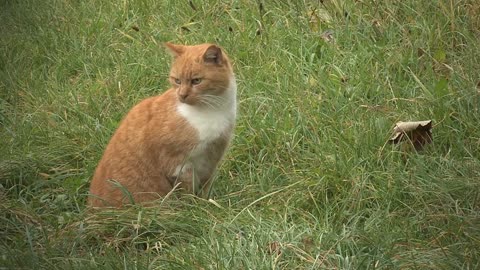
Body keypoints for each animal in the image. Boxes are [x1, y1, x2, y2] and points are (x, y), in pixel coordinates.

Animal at [88, 42, 238, 207]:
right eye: (177, 80)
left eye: (196, 81)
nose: (182, 95)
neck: (212, 111)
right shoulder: (178, 164)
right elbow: (188, 192)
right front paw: (193, 207)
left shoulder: (212, 158)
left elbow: (205, 189)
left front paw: (205, 204)